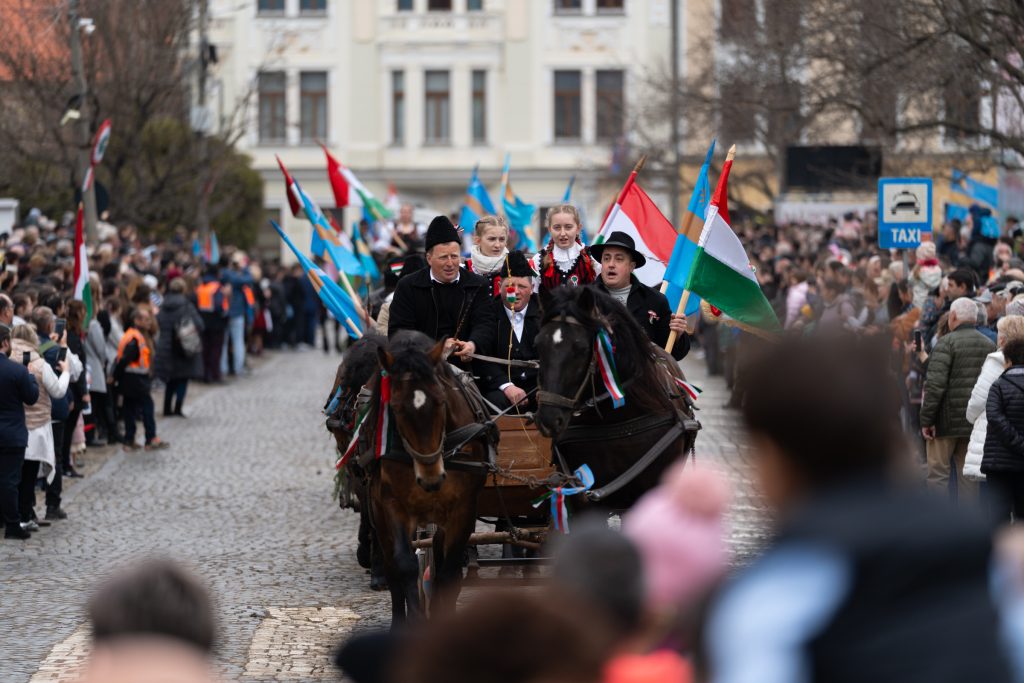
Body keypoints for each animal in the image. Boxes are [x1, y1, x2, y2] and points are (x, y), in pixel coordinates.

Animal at [370, 329, 493, 626]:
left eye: (441, 401)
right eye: (396, 408)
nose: (431, 478)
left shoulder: (463, 508)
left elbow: (449, 573)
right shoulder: (393, 505)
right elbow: (405, 566)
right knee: (391, 566)